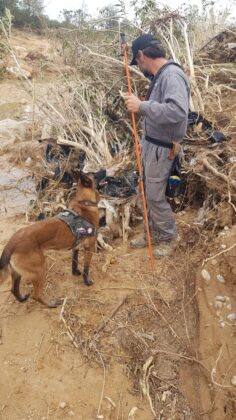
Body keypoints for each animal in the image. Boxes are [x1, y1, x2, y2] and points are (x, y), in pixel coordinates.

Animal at [0, 171, 99, 308]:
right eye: (95, 174)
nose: (105, 171)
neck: (84, 203)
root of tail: (11, 243)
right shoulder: (89, 248)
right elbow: (86, 268)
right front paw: (87, 282)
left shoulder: (76, 247)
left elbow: (74, 263)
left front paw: (75, 273)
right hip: (40, 269)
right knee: (36, 295)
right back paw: (51, 304)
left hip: (17, 273)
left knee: (14, 289)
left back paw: (22, 298)